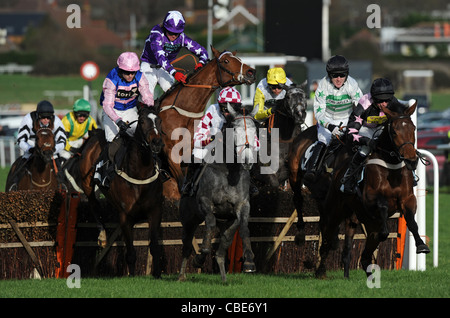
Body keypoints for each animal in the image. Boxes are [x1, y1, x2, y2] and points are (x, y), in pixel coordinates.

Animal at [156, 45, 256, 199]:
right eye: (226, 61)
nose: (251, 72)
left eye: (238, 58)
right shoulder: (171, 152)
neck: (183, 113)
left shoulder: (190, 151)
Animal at [178, 103, 258, 282]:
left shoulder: (243, 205)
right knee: (186, 243)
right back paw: (182, 275)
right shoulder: (205, 201)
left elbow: (243, 228)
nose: (247, 160)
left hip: (226, 220)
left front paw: (249, 262)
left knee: (225, 242)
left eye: (255, 130)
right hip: (188, 219)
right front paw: (202, 254)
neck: (228, 172)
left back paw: (223, 276)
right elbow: (210, 221)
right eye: (235, 130)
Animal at [314, 99, 430, 278]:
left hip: (367, 222)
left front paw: (421, 245)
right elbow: (382, 205)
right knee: (326, 237)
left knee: (366, 252)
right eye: (394, 131)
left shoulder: (408, 199)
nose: (411, 159)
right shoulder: (369, 199)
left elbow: (411, 222)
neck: (391, 167)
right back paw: (320, 271)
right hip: (334, 210)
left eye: (414, 128)